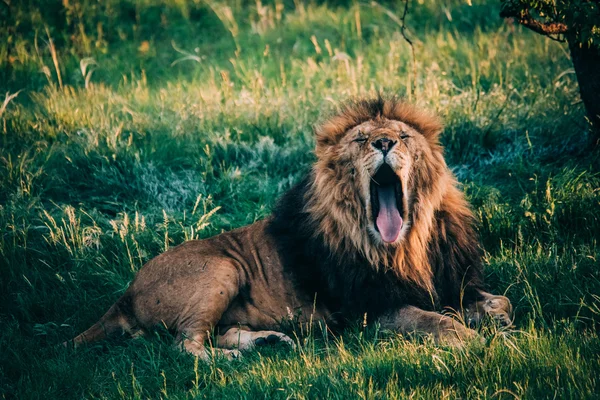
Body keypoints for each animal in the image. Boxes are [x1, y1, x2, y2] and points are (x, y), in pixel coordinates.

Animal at [69, 96, 510, 360]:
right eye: (362, 139)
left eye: (403, 136)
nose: (384, 143)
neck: (405, 246)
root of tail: (126, 293)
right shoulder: (369, 309)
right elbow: (431, 319)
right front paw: (472, 339)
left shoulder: (451, 279)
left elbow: (498, 300)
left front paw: (496, 318)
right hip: (222, 268)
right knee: (185, 345)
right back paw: (228, 359)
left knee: (215, 333)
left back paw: (267, 340)